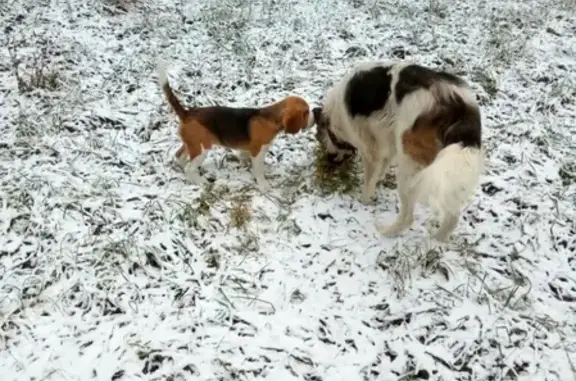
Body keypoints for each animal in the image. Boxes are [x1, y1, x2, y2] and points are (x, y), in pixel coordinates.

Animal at [158, 65, 316, 191]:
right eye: (306, 112)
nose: (315, 114)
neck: (270, 118)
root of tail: (187, 113)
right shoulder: (258, 151)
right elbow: (259, 170)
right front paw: (263, 185)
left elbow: (245, 156)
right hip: (202, 147)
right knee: (189, 168)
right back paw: (201, 181)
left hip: (191, 144)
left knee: (180, 157)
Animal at [312, 59, 484, 240]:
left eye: (320, 139)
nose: (329, 161)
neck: (335, 116)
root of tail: (459, 107)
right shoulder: (387, 144)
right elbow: (379, 169)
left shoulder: (371, 149)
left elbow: (369, 179)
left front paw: (363, 200)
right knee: (452, 216)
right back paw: (435, 241)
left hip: (409, 168)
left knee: (408, 217)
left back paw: (387, 232)